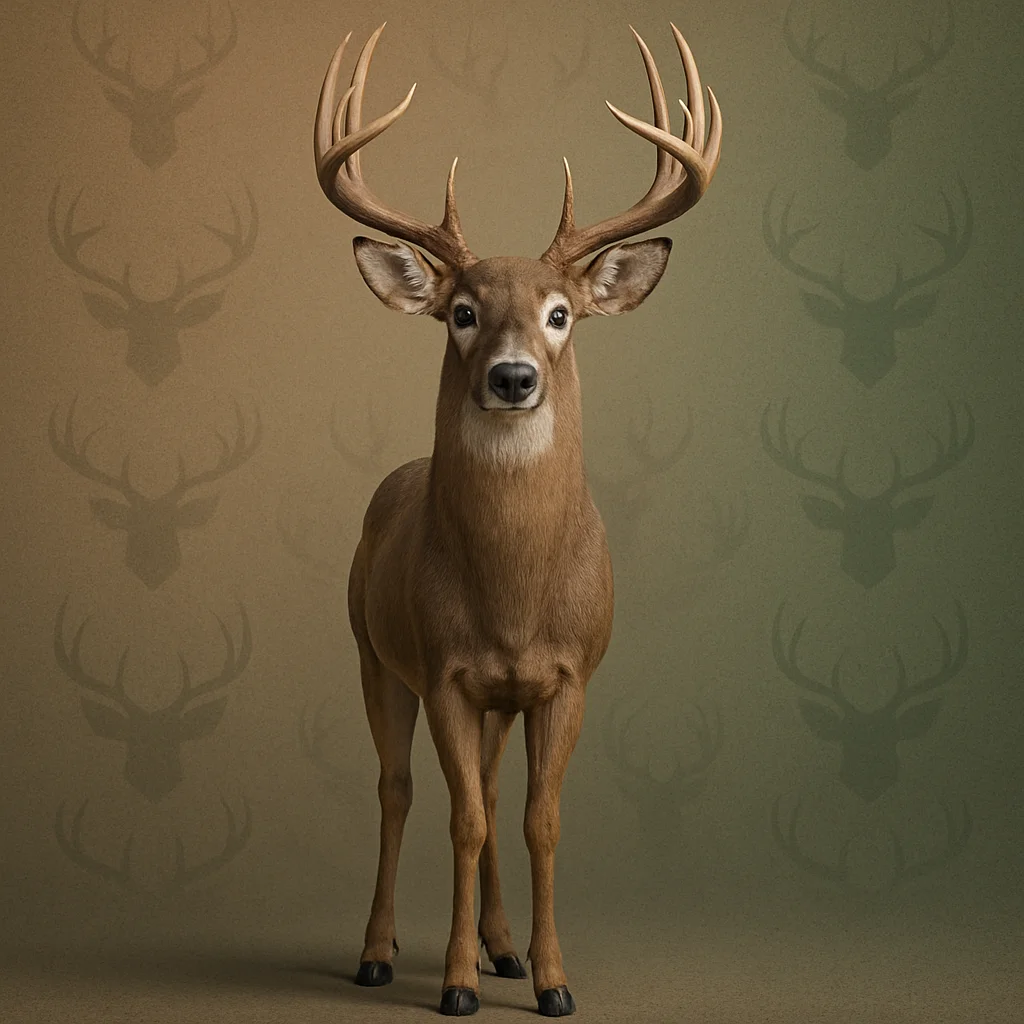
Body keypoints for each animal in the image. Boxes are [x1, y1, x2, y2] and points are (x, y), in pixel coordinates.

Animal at [313, 19, 721, 1018]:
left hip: (499, 700)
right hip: (370, 648)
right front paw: (455, 982)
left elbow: (539, 819)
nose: (511, 376)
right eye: (461, 312)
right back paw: (379, 951)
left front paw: (550, 978)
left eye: (561, 313)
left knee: (494, 793)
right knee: (396, 789)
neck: (514, 597)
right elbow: (459, 818)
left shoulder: (569, 673)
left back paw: (502, 946)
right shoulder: (447, 672)